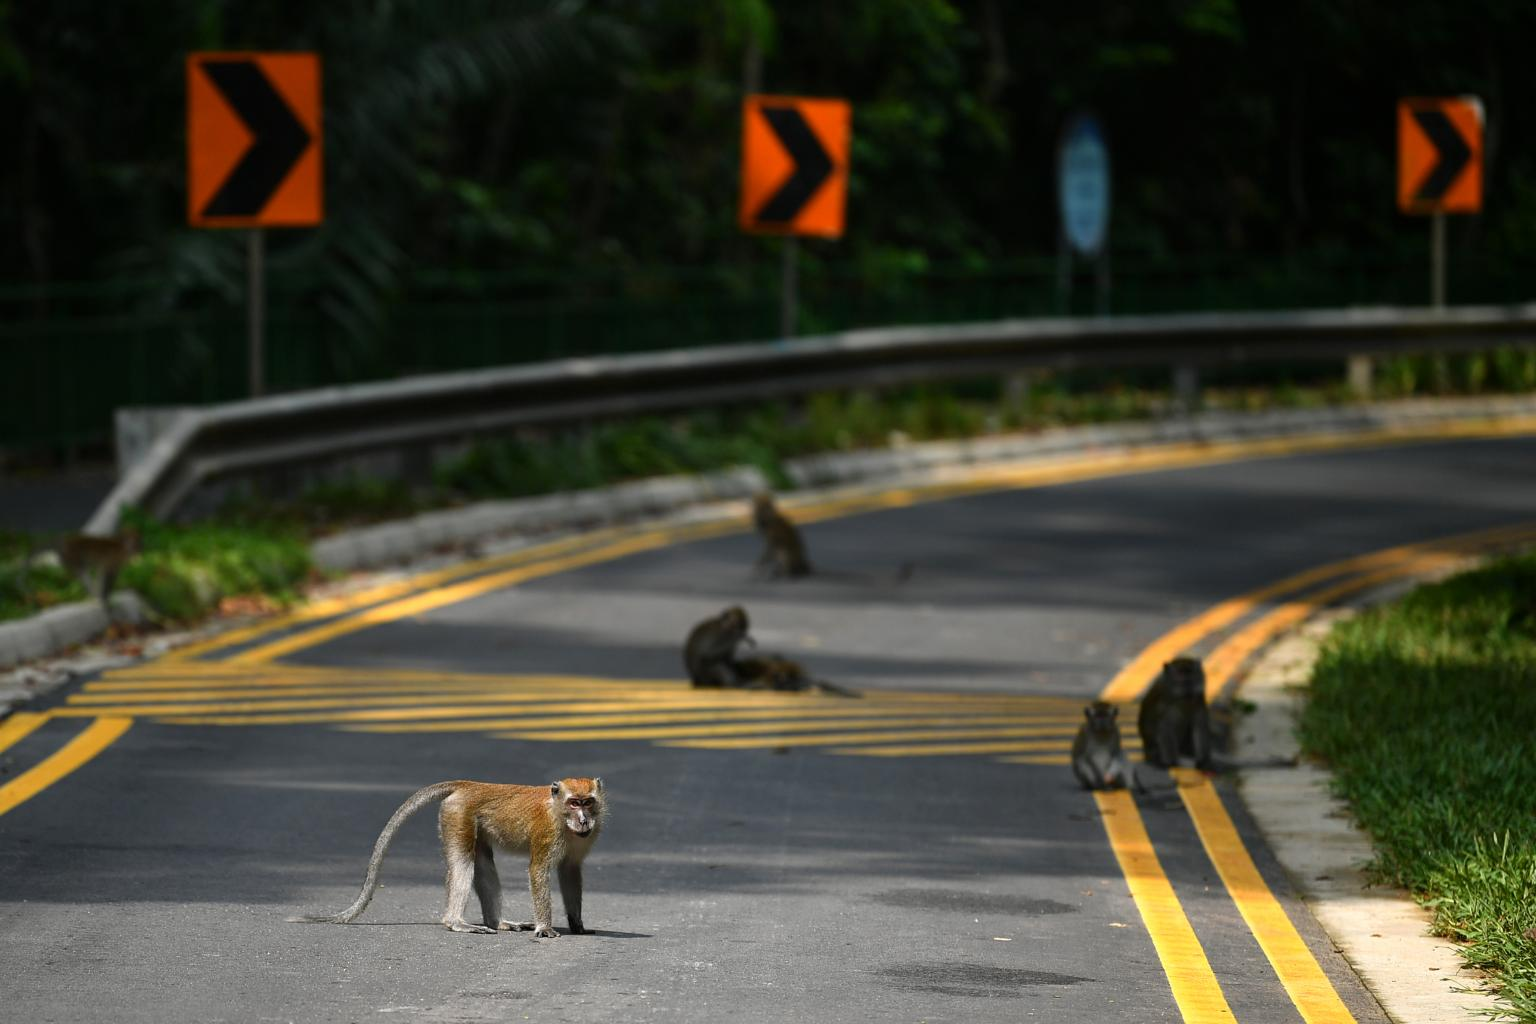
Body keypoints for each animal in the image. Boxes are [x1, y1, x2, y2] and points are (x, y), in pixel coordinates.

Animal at [290, 776, 602, 939]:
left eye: (588, 802)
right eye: (574, 803)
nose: (584, 820)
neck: (560, 815)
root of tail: (471, 784)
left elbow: (570, 870)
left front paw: (577, 924)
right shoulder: (547, 833)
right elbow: (538, 870)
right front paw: (545, 928)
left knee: (483, 865)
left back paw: (496, 922)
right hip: (457, 814)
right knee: (463, 864)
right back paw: (456, 922)